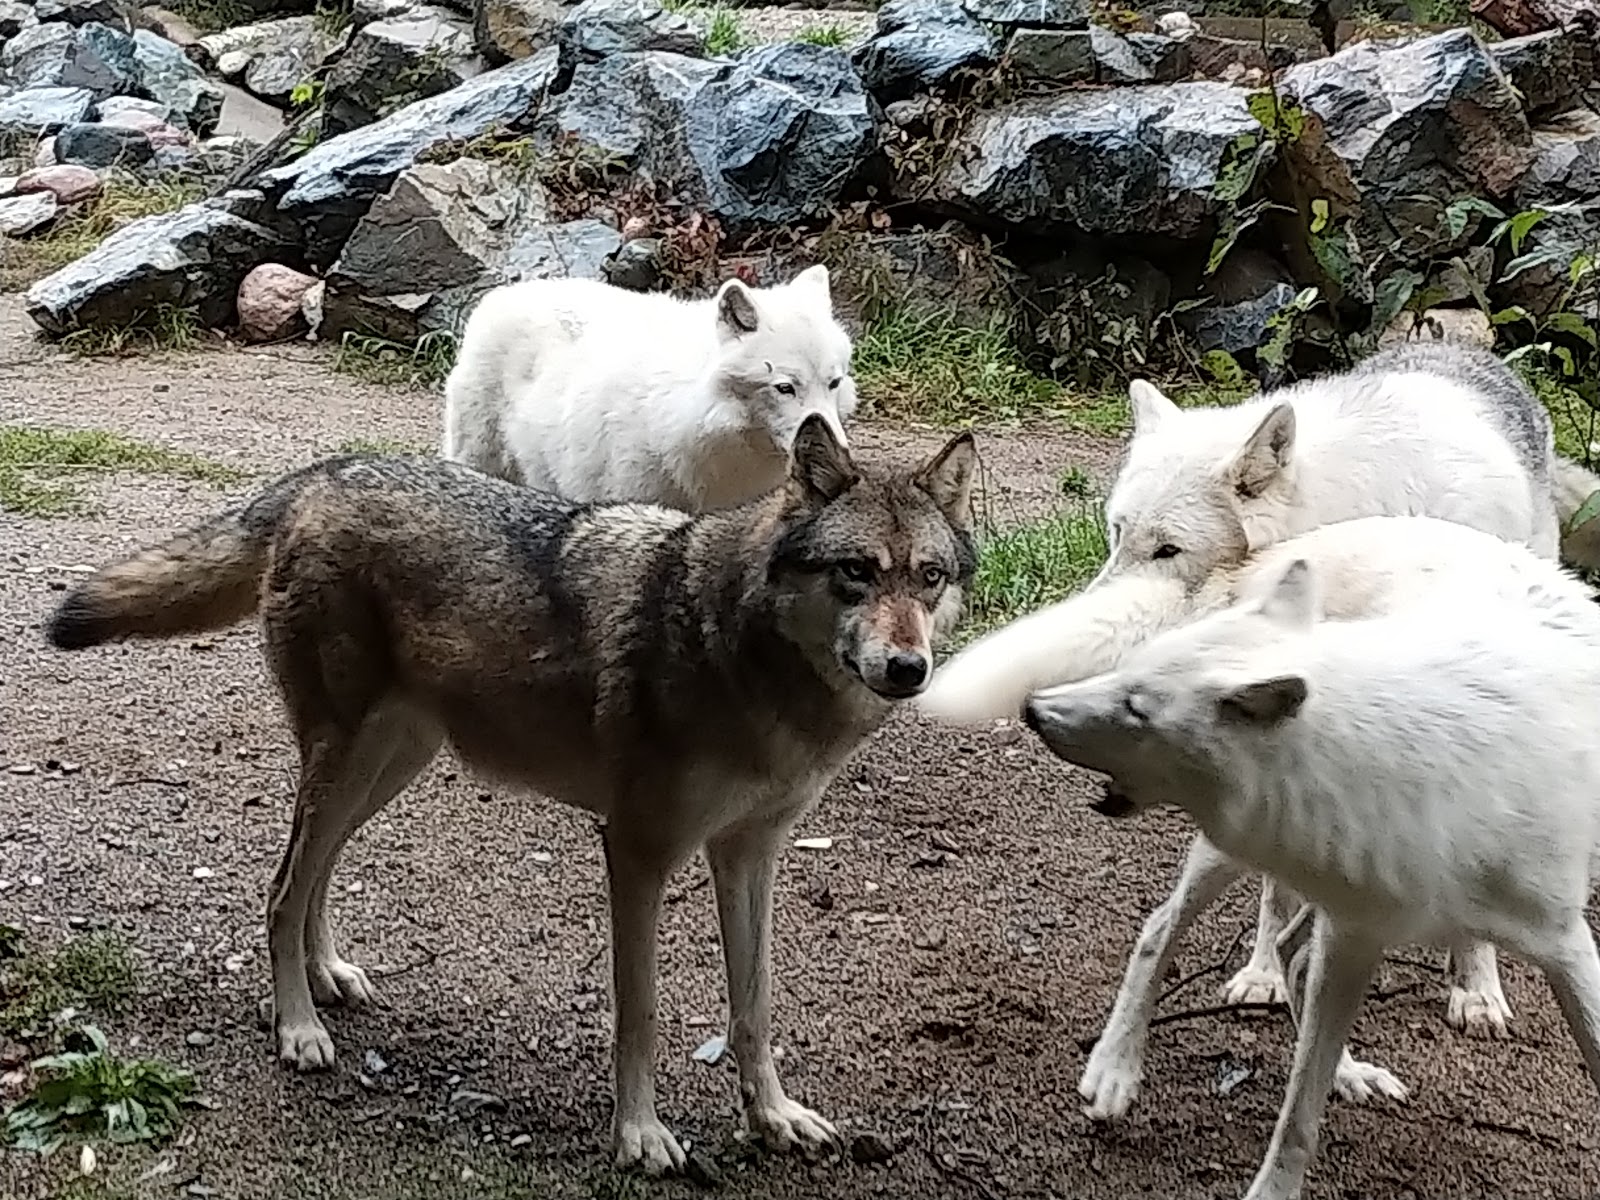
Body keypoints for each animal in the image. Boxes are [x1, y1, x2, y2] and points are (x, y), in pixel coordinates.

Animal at [44, 416, 977, 1175]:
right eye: (856, 572)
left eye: (929, 577)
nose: (909, 669)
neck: (742, 654)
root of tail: (323, 473)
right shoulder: (637, 851)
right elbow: (639, 1012)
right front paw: (640, 1138)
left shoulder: (750, 855)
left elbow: (753, 1004)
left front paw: (773, 1120)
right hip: (350, 764)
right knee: (280, 886)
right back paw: (299, 1029)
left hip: (387, 768)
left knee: (312, 876)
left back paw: (326, 977)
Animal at [1022, 552, 1600, 1200]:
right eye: (1126, 674)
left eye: (1137, 707)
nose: (1033, 709)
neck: (1395, 767)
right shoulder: (1351, 933)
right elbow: (1298, 1111)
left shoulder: (1565, 947)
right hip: (1237, 857)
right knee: (1164, 928)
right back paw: (1114, 1070)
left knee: (1288, 950)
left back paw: (1350, 1073)